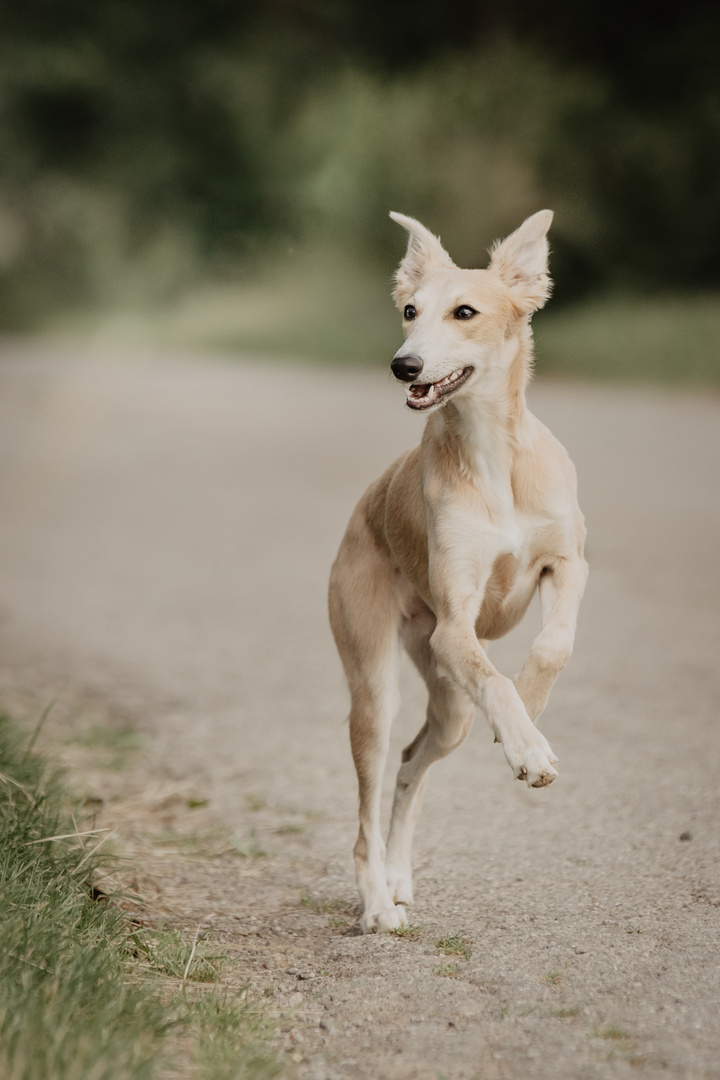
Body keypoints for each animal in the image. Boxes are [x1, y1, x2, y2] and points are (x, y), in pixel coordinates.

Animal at [330, 208, 587, 928]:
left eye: (465, 311)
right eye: (409, 310)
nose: (403, 364)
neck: (493, 459)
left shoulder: (567, 563)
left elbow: (553, 645)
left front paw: (530, 710)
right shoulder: (454, 626)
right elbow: (495, 681)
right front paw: (527, 746)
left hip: (449, 709)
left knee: (411, 765)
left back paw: (398, 875)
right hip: (376, 688)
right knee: (367, 805)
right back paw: (378, 904)